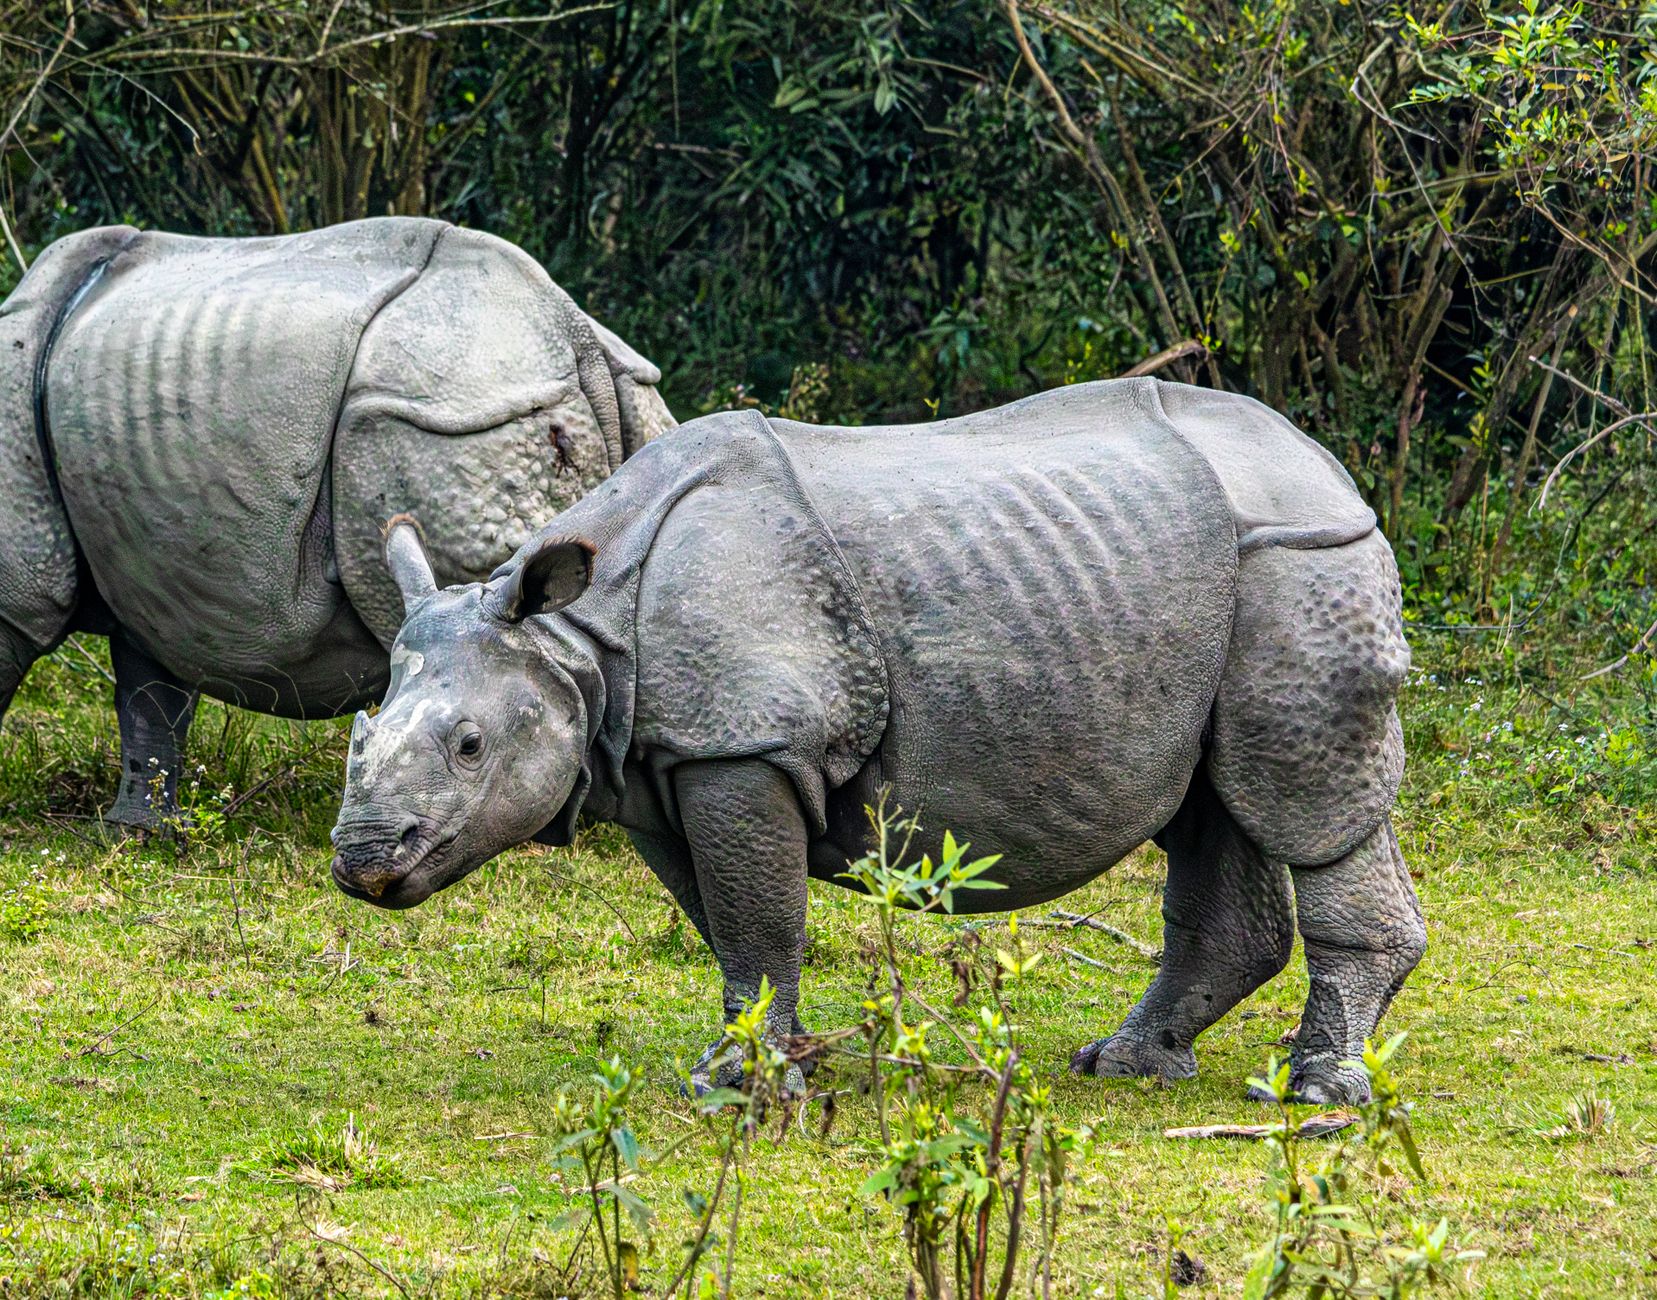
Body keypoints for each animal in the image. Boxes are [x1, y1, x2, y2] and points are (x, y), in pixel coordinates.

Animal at [0, 217, 673, 826]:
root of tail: (573, 337)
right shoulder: (153, 572)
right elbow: (152, 694)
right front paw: (141, 834)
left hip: (443, 420)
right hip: (596, 393)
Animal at [328, 381, 1426, 1103]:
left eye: (470, 746)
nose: (362, 861)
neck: (571, 645)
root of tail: (1330, 471)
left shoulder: (742, 745)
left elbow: (759, 920)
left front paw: (740, 1089)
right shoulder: (652, 757)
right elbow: (726, 924)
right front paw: (768, 1062)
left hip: (1300, 559)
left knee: (1305, 806)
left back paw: (1315, 1097)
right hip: (1220, 576)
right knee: (1214, 806)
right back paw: (1126, 1065)